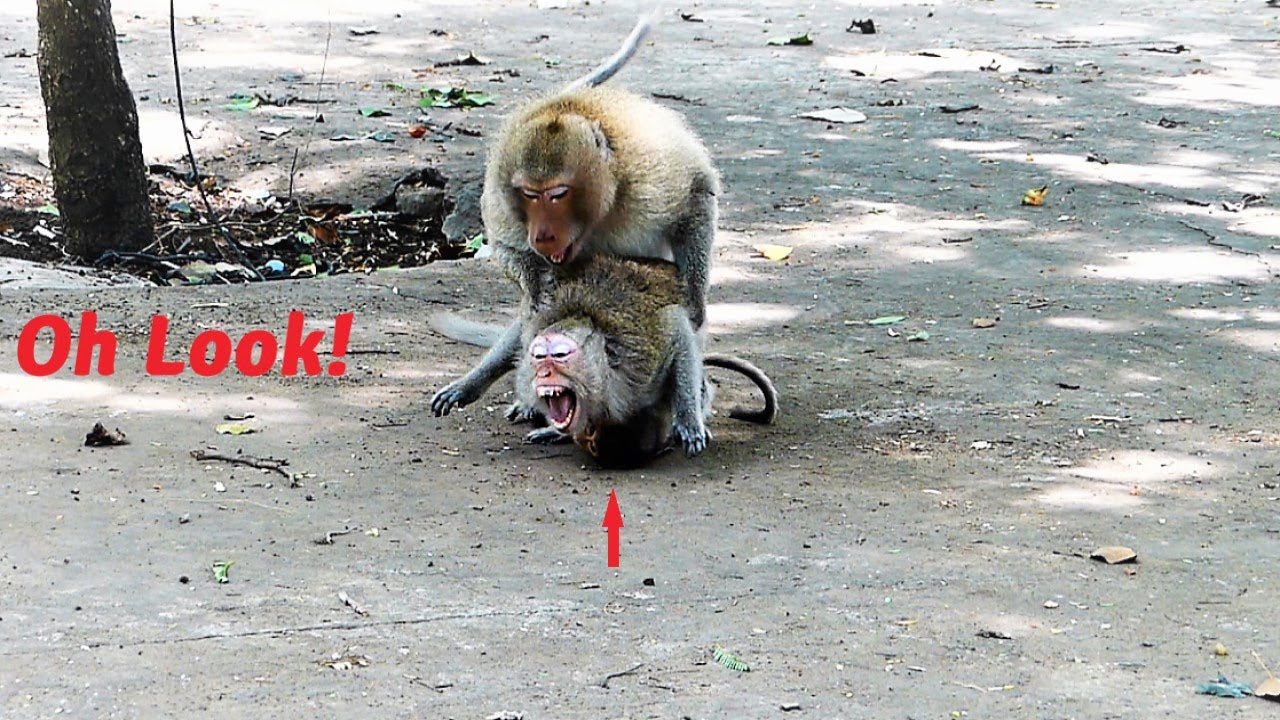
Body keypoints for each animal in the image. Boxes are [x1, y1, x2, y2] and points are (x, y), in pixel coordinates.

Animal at [431, 14, 720, 421]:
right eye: (529, 194)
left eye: (557, 194)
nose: (542, 235)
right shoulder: (504, 190)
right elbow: (506, 250)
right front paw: (536, 283)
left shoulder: (649, 175)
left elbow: (697, 194)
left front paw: (694, 297)